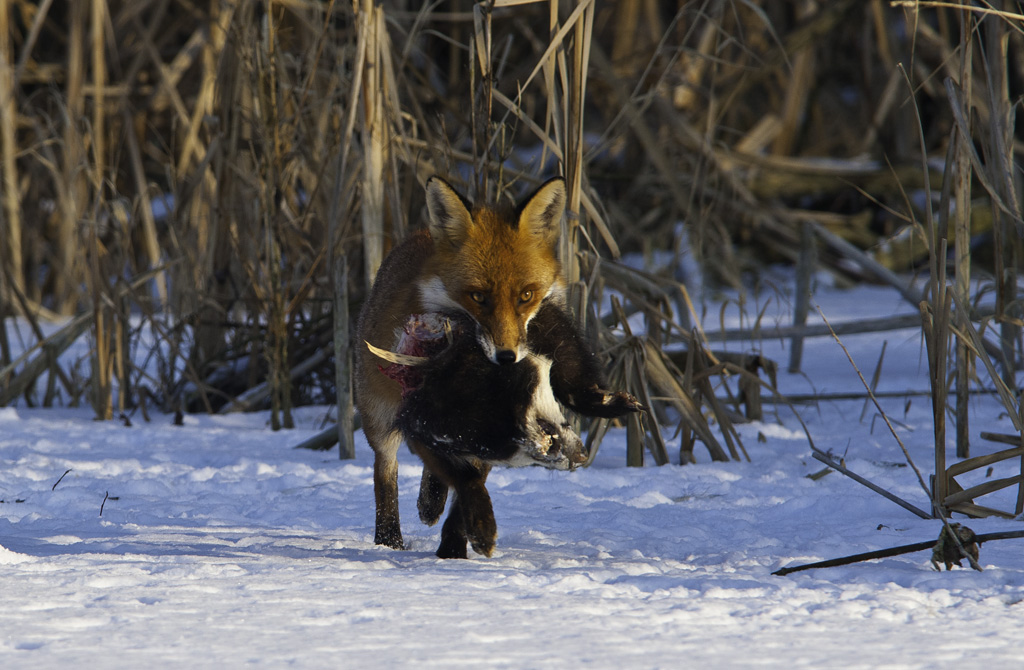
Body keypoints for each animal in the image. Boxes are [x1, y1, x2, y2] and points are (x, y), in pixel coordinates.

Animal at [355, 176, 642, 558]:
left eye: (525, 296)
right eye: (478, 296)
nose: (507, 357)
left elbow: (468, 485)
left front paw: (456, 542)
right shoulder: (419, 417)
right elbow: (464, 479)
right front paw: (476, 526)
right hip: (380, 418)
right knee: (386, 474)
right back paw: (389, 540)